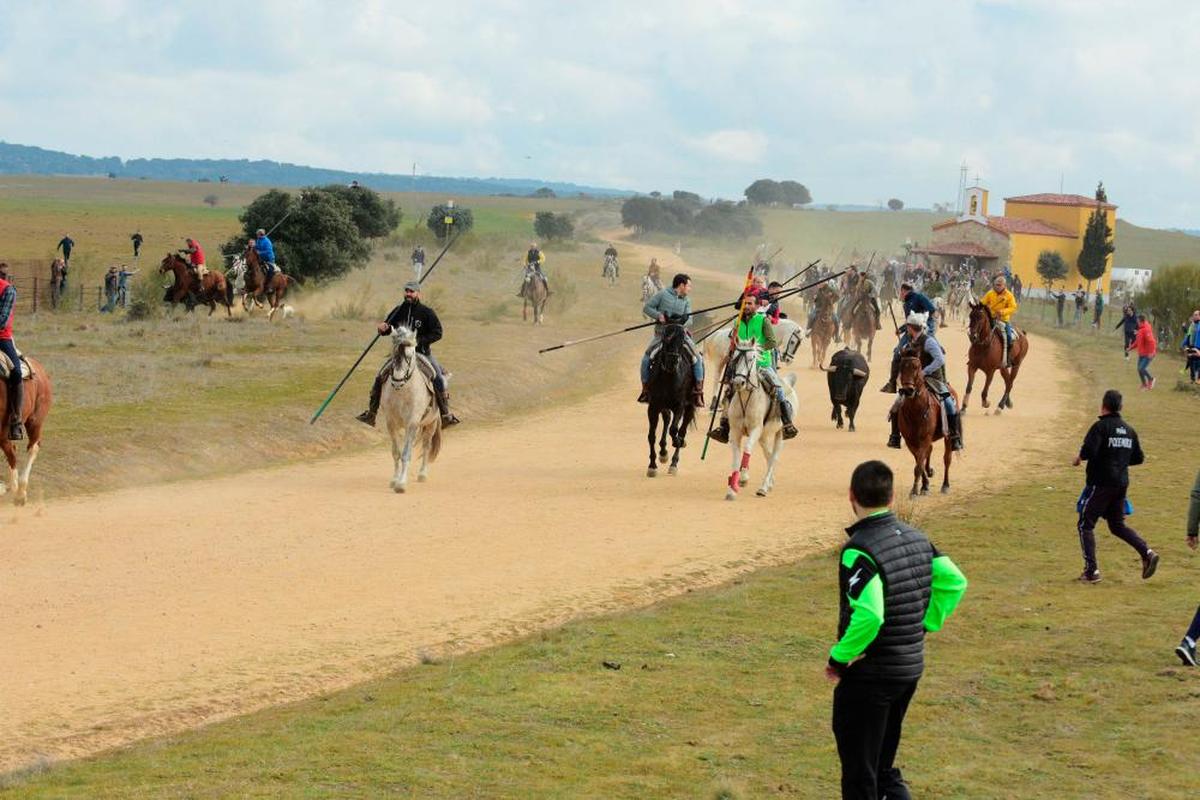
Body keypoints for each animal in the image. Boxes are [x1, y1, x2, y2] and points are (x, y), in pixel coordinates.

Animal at [381, 326, 444, 491]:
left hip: (430, 424)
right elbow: (396, 453)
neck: (402, 390)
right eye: (393, 353)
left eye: (410, 355)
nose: (397, 380)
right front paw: (394, 480)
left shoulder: (412, 423)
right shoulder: (391, 423)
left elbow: (406, 454)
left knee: (427, 446)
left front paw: (401, 484)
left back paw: (422, 474)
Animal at [720, 338, 796, 501]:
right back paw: (770, 483)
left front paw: (743, 478)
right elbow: (736, 457)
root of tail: (787, 384)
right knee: (769, 455)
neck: (746, 397)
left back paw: (763, 488)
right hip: (764, 436)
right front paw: (732, 489)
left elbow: (747, 448)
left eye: (752, 358)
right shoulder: (735, 432)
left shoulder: (755, 429)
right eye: (734, 357)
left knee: (774, 457)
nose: (738, 383)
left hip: (780, 433)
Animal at [902, 347, 955, 496]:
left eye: (917, 366)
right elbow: (919, 462)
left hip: (948, 437)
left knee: (947, 459)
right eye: (901, 366)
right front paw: (924, 486)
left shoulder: (924, 438)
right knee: (929, 452)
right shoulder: (910, 441)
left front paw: (914, 491)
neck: (915, 411)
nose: (908, 390)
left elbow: (919, 465)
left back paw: (945, 485)